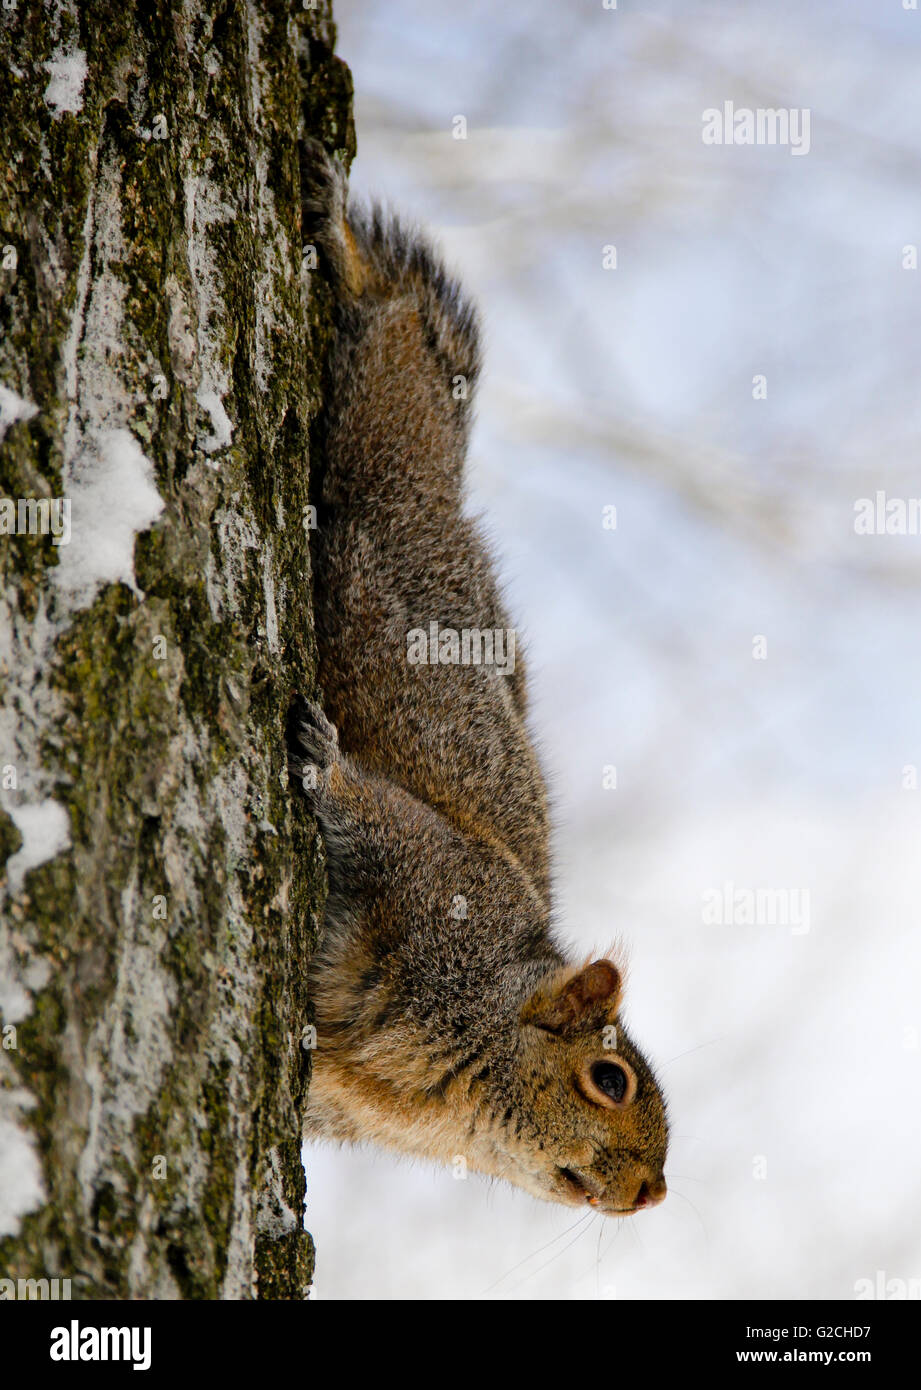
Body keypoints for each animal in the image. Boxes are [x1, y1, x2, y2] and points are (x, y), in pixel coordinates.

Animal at [291, 141, 666, 1217]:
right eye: (609, 1079)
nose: (652, 1192)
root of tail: (444, 490)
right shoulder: (437, 879)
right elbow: (374, 812)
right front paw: (326, 762)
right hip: (380, 479)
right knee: (395, 352)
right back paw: (340, 239)